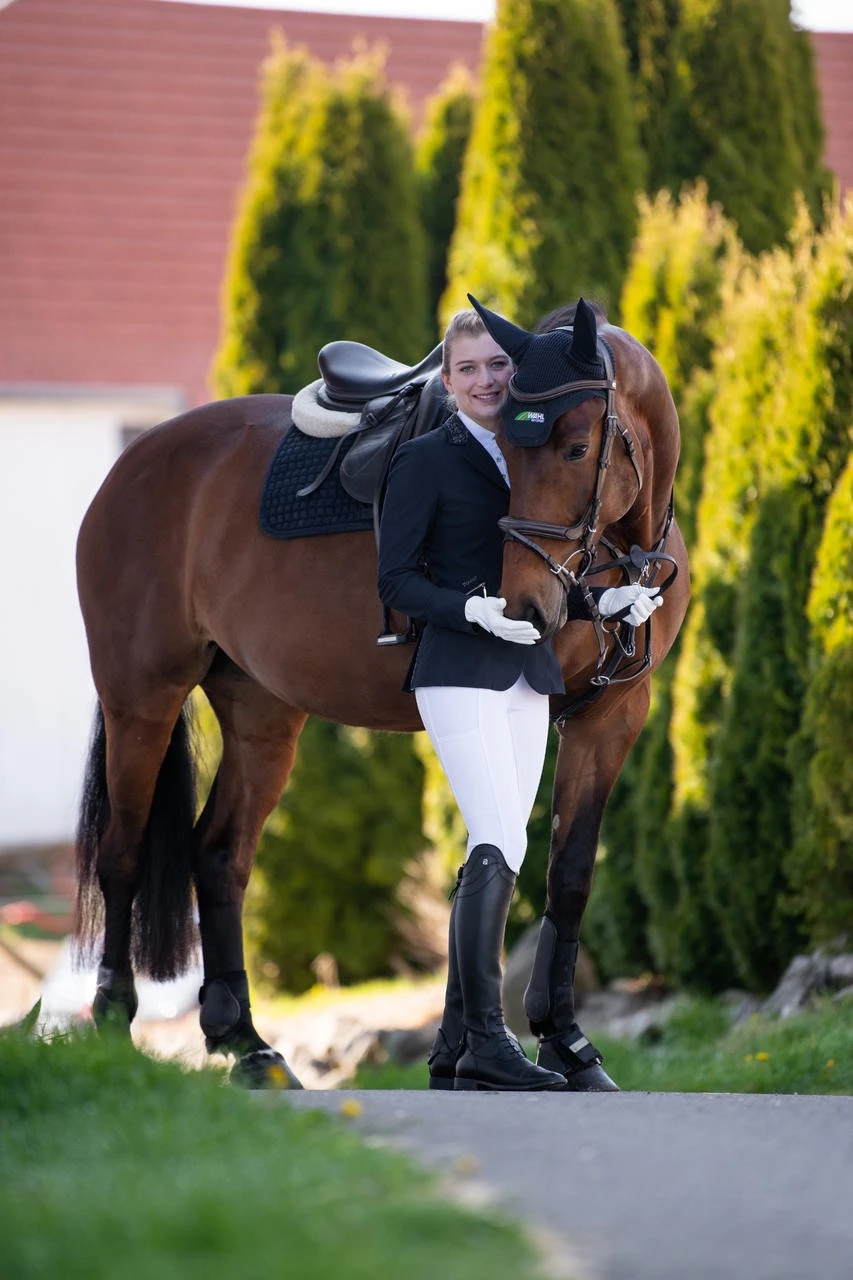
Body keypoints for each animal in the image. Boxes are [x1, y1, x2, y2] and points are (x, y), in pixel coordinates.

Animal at [74, 300, 689, 1089]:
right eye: (507, 447)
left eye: (577, 447)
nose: (524, 606)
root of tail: (135, 460)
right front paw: (504, 1050)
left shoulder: (608, 718)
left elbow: (565, 873)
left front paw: (560, 1045)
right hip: (141, 697)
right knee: (121, 850)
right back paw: (111, 1021)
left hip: (262, 712)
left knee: (219, 852)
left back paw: (246, 1043)